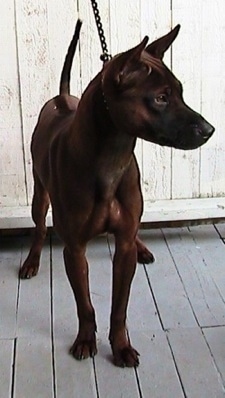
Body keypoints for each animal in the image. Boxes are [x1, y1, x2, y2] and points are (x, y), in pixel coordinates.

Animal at [19, 19, 214, 366]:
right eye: (160, 98)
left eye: (180, 91)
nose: (209, 130)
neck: (111, 157)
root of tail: (62, 99)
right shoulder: (75, 250)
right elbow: (85, 305)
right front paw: (85, 339)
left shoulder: (123, 249)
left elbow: (119, 306)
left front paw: (121, 345)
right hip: (39, 195)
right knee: (40, 226)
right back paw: (32, 260)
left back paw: (143, 247)